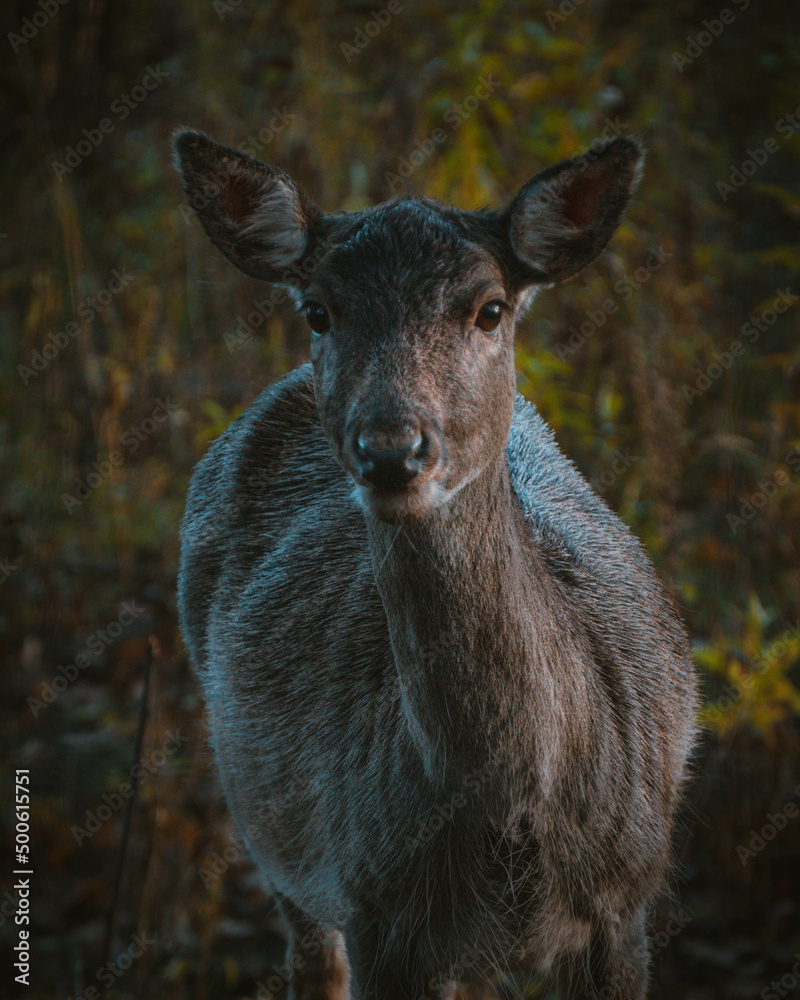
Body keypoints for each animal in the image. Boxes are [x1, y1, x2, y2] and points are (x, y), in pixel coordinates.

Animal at [173, 127, 692, 1000]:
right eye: (319, 309)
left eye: (490, 308)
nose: (391, 450)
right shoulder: (375, 905)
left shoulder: (629, 898)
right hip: (274, 841)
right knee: (310, 960)